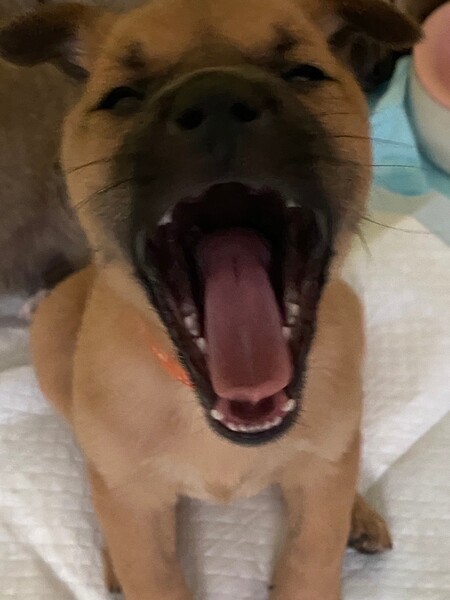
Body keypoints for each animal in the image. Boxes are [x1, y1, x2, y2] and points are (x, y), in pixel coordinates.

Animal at [0, 0, 421, 598]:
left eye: (305, 73)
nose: (217, 100)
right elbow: (147, 562)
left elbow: (311, 556)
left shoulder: (319, 495)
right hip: (54, 342)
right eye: (121, 97)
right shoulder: (140, 522)